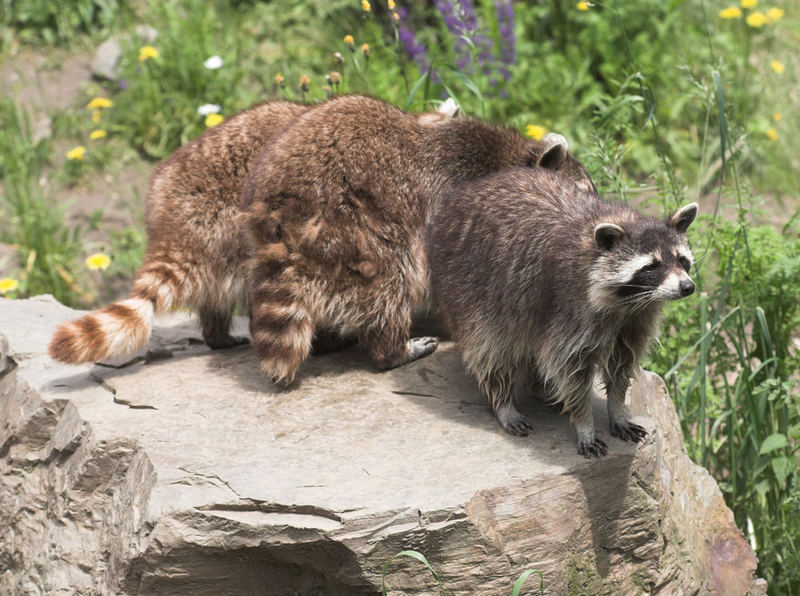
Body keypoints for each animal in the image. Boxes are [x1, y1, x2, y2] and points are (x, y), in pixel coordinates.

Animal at [239, 95, 592, 384]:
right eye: (581, 192)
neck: (505, 157)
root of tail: (283, 215)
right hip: (353, 229)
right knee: (392, 279)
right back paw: (393, 348)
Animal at [428, 166, 696, 456]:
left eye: (681, 260)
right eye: (652, 267)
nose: (687, 287)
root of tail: (463, 192)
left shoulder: (636, 319)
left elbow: (621, 365)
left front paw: (616, 408)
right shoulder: (570, 308)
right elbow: (569, 367)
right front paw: (584, 423)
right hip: (470, 289)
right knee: (489, 349)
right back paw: (503, 401)